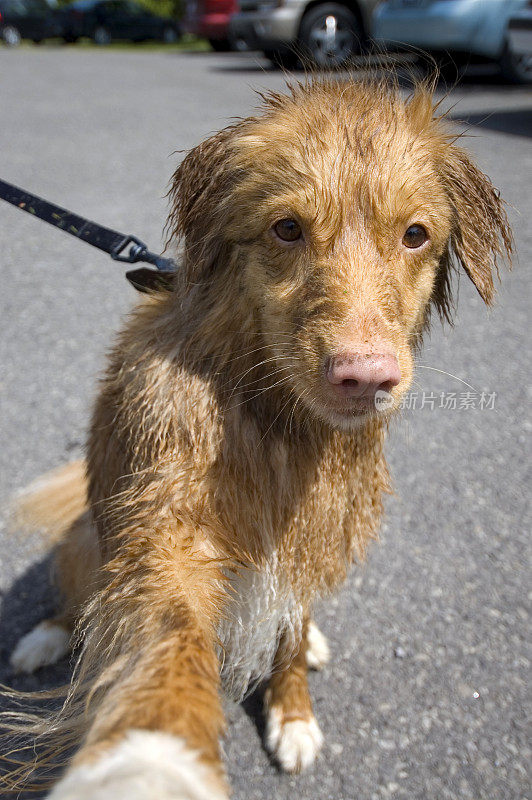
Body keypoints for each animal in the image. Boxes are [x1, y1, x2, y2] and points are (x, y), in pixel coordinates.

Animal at [4, 76, 512, 800]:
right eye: (287, 228)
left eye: (416, 235)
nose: (366, 376)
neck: (277, 420)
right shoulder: (169, 536)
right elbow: (167, 641)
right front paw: (151, 761)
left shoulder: (312, 532)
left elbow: (290, 638)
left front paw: (293, 711)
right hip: (88, 539)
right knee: (74, 599)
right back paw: (43, 638)